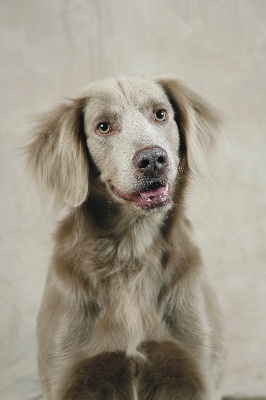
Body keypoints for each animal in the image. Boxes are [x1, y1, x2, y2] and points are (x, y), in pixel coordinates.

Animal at [26, 76, 227, 400]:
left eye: (160, 114)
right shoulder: (66, 377)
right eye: (103, 126)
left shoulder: (198, 372)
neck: (132, 252)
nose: (153, 159)